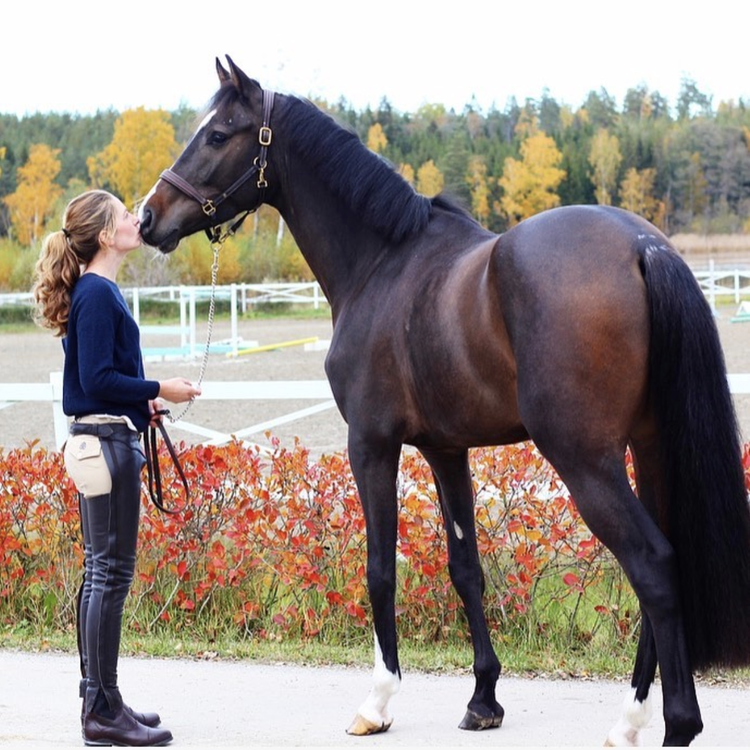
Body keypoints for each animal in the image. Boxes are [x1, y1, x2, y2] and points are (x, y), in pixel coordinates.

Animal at [140, 57, 750, 748]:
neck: (383, 263)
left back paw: (672, 722)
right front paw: (484, 698)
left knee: (652, 567)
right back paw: (630, 717)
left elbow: (380, 568)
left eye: (218, 134)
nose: (148, 218)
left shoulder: (371, 445)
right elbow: (466, 568)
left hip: (587, 461)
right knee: (663, 563)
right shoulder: (446, 450)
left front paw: (378, 701)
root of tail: (644, 247)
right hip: (648, 449)